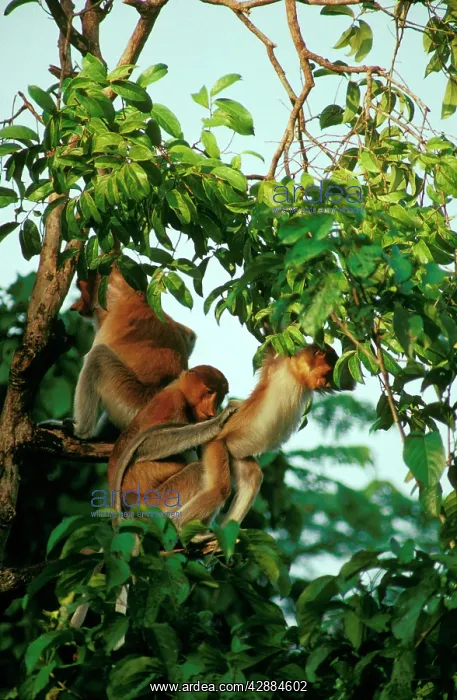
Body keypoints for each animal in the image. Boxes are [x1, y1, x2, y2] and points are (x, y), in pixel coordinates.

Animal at [111, 343, 349, 530]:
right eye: (327, 372)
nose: (327, 384)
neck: (297, 375)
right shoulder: (280, 363)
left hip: (234, 454)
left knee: (253, 477)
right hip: (217, 444)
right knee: (218, 489)